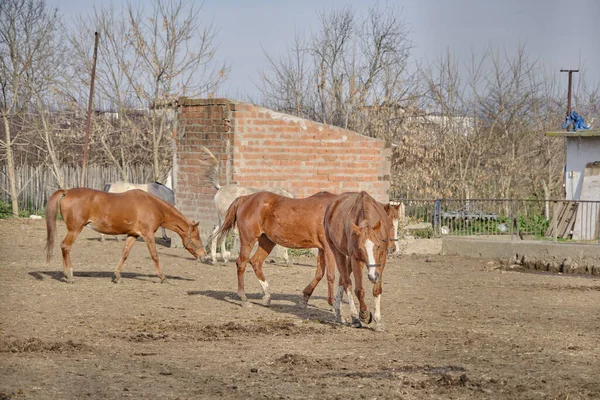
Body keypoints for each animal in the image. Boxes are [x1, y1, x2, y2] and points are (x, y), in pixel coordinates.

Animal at [43, 189, 205, 282]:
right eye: (197, 237)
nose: (204, 255)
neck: (153, 206)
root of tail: (67, 191)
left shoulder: (133, 235)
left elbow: (125, 253)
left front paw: (117, 276)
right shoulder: (148, 235)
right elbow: (154, 255)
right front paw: (162, 277)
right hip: (75, 230)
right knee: (65, 247)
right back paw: (69, 275)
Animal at [326, 191, 392, 332]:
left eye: (378, 246)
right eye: (361, 248)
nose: (372, 276)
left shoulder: (382, 258)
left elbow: (377, 289)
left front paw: (378, 321)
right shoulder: (355, 258)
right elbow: (359, 290)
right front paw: (364, 315)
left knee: (342, 279)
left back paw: (338, 312)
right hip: (338, 252)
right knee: (347, 282)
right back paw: (354, 317)